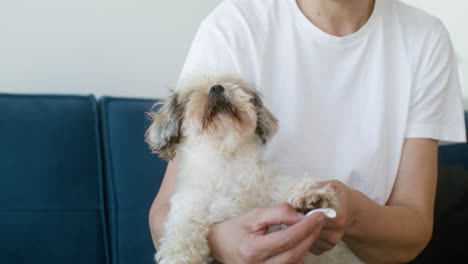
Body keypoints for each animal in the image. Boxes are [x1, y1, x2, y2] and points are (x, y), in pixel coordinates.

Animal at [144, 73, 364, 262]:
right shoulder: (189, 208)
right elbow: (182, 235)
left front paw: (313, 195)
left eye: (235, 85)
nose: (216, 87)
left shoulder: (269, 188)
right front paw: (179, 256)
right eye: (191, 94)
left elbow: (288, 186)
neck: (227, 160)